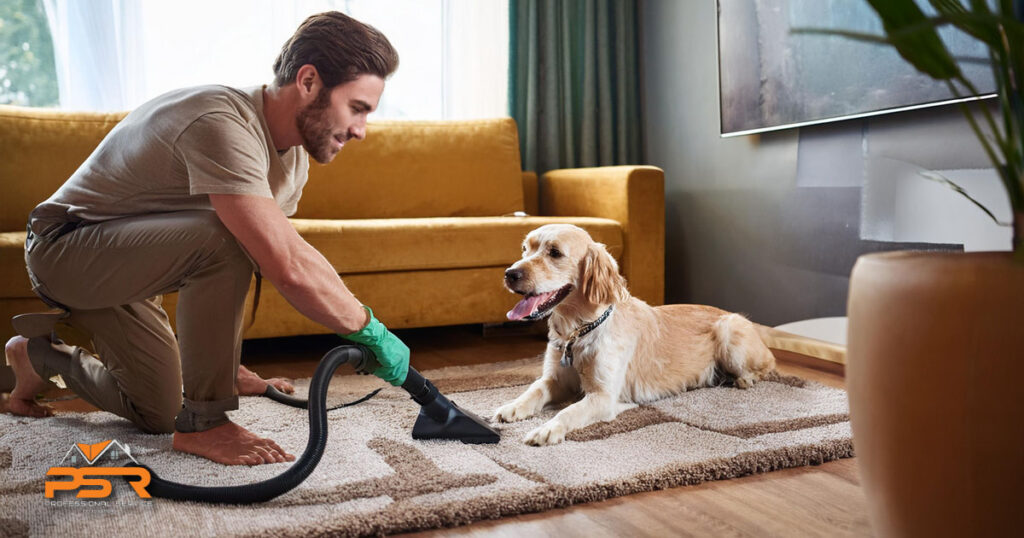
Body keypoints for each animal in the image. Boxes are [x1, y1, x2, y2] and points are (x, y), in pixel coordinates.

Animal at [491, 222, 770, 444]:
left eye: (555, 252)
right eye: (525, 249)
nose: (509, 274)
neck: (579, 331)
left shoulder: (603, 396)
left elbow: (568, 412)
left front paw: (547, 429)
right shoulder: (554, 379)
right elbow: (533, 390)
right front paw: (512, 407)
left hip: (729, 330)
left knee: (767, 366)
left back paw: (743, 379)